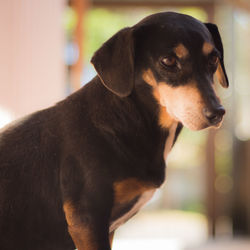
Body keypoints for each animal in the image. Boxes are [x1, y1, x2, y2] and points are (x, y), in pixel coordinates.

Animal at [0, 11, 228, 250]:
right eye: (168, 61)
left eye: (214, 59)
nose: (217, 113)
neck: (130, 119)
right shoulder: (87, 221)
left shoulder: (106, 228)